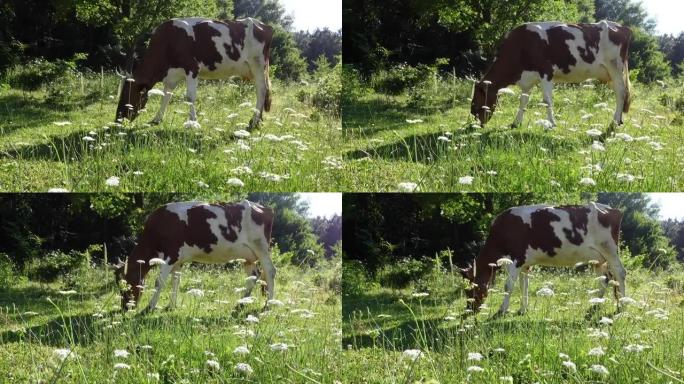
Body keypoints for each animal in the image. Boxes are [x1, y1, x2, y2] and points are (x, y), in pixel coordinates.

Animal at [112, 200, 276, 314]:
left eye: (125, 285)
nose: (125, 308)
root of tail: (265, 208)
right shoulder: (178, 261)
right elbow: (175, 281)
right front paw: (171, 306)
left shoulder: (171, 255)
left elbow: (160, 282)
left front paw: (149, 308)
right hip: (247, 256)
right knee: (253, 276)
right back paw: (241, 304)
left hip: (261, 248)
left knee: (270, 271)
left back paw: (268, 305)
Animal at [115, 17, 272, 130]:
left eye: (127, 95)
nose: (117, 120)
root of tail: (263, 25)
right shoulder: (171, 76)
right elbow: (166, 96)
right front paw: (156, 119)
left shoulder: (192, 68)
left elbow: (190, 97)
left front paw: (193, 123)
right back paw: (259, 121)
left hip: (258, 65)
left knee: (261, 91)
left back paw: (253, 122)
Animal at [460, 202, 624, 316]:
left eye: (469, 290)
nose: (469, 310)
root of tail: (612, 209)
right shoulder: (525, 264)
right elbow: (524, 285)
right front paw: (522, 309)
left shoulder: (515, 260)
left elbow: (508, 287)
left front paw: (501, 311)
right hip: (598, 259)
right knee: (605, 278)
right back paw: (596, 305)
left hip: (609, 250)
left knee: (620, 273)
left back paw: (622, 306)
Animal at [470, 20, 632, 127]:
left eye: (476, 104)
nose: (479, 125)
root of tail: (622, 27)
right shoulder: (527, 80)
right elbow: (523, 101)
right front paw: (516, 123)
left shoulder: (546, 72)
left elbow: (547, 101)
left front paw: (552, 123)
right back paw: (619, 120)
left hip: (615, 67)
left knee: (621, 93)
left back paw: (615, 121)